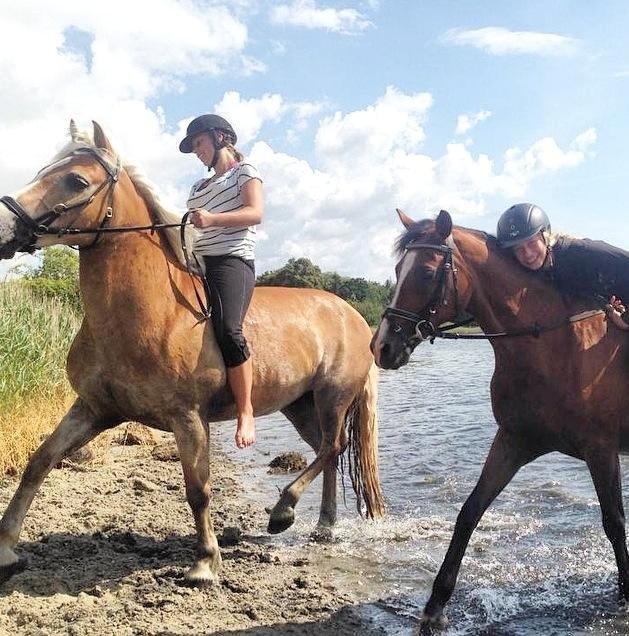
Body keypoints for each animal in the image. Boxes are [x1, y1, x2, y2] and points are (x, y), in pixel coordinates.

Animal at [0, 121, 382, 588]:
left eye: (76, 180)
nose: (3, 225)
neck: (151, 311)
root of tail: (353, 315)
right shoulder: (94, 409)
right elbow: (39, 462)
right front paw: (6, 549)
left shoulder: (188, 417)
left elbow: (197, 489)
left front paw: (204, 562)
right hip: (300, 404)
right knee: (328, 451)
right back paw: (322, 525)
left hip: (332, 396)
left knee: (332, 446)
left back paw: (283, 511)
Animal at [370, 207, 628, 628]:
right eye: (396, 270)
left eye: (426, 272)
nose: (383, 347)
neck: (552, 347)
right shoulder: (513, 441)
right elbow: (469, 512)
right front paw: (436, 604)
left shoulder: (601, 450)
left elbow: (614, 522)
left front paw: (625, 594)